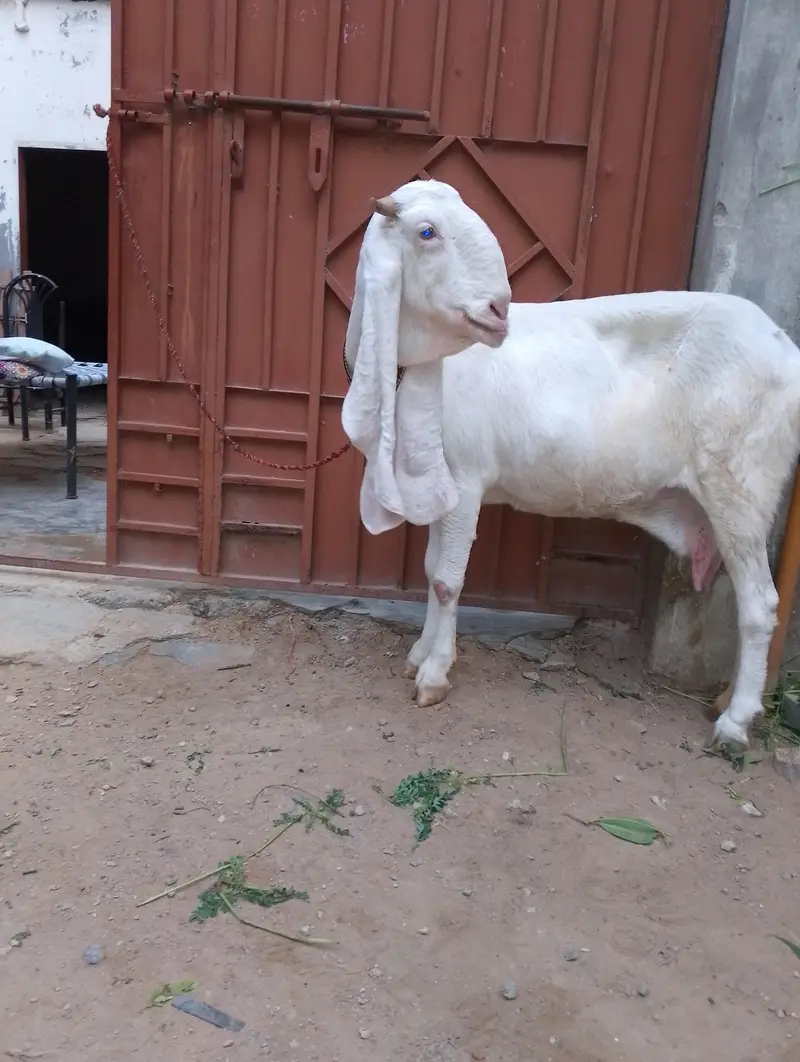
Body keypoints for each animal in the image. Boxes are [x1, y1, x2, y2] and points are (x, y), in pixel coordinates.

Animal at [342, 178, 800, 748]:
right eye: (427, 232)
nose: (497, 310)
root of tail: (786, 351)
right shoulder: (442, 482)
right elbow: (429, 572)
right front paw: (419, 655)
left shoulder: (466, 480)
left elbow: (447, 580)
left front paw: (434, 675)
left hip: (740, 486)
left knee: (759, 604)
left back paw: (734, 722)